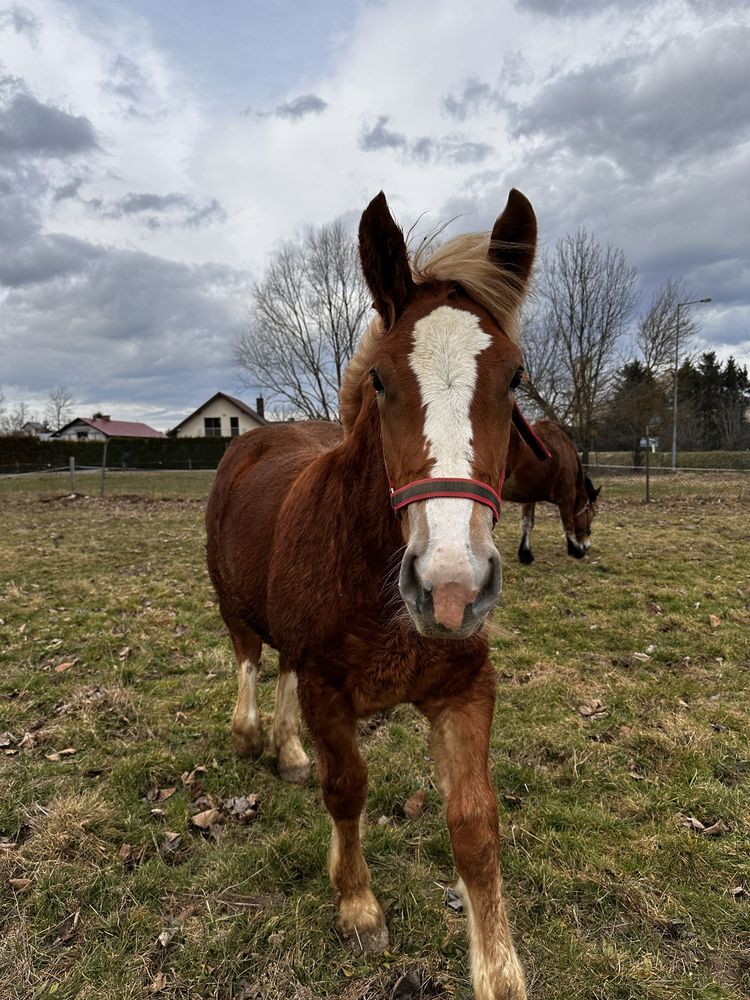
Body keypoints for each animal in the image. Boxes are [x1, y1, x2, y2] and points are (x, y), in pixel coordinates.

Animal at [207, 189, 540, 1000]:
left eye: (514, 378)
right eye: (383, 381)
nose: (450, 589)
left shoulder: (464, 688)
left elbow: (474, 824)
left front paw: (499, 972)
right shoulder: (330, 689)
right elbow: (347, 790)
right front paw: (357, 905)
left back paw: (288, 750)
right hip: (235, 607)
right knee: (249, 661)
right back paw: (252, 734)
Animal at [502, 418, 604, 564]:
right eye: (593, 514)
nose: (586, 545)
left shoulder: (530, 497)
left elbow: (527, 523)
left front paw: (525, 554)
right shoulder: (567, 496)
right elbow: (568, 523)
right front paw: (576, 550)